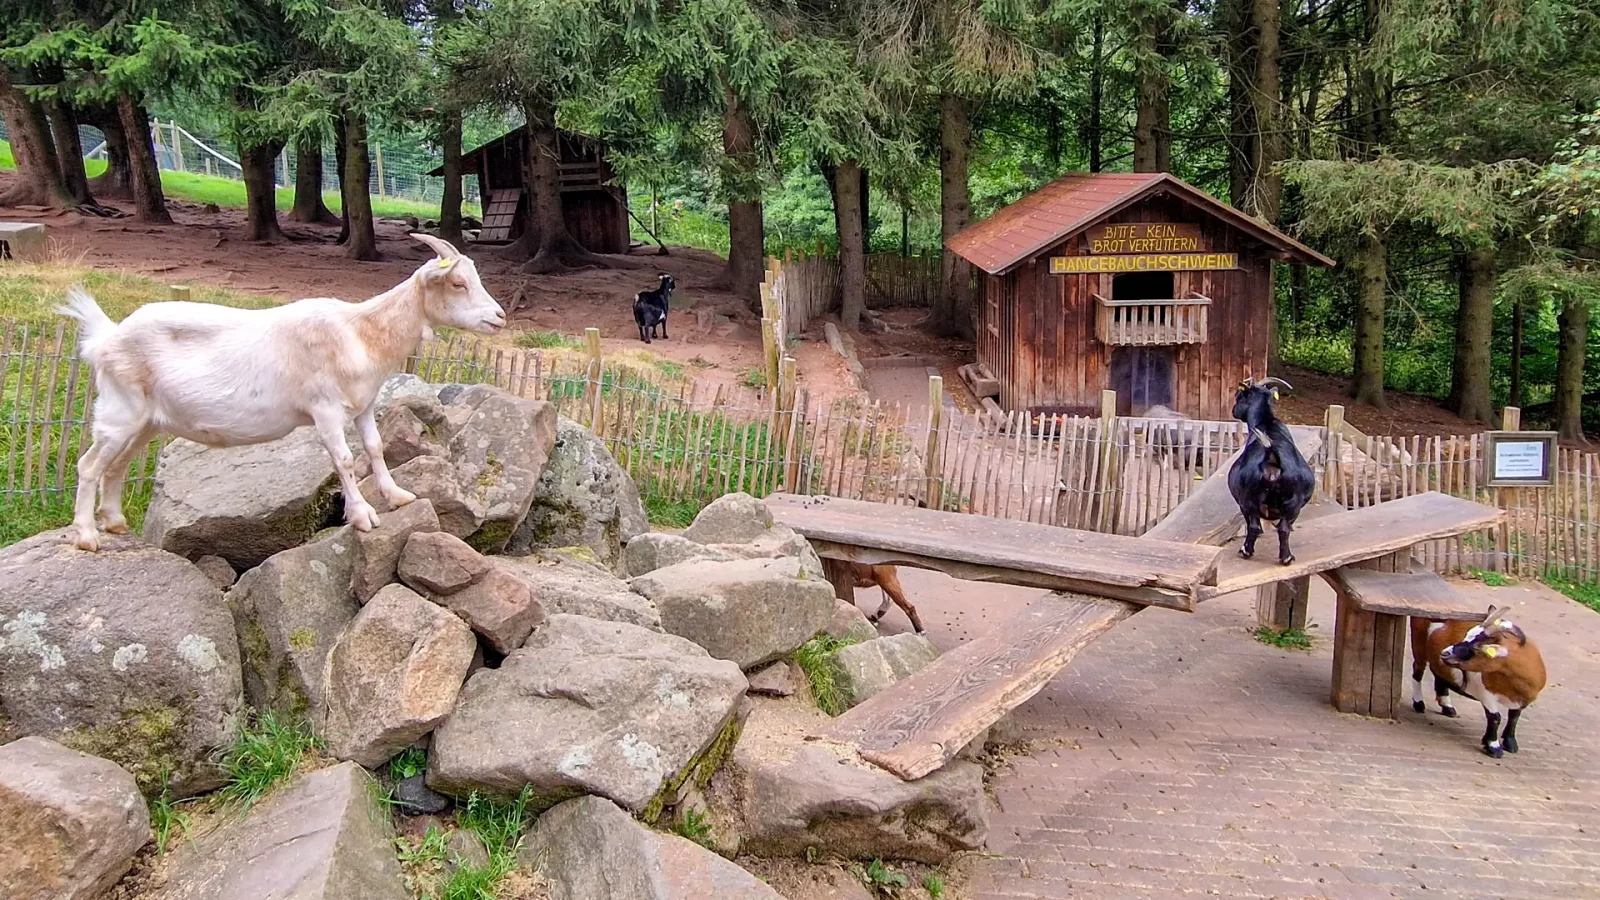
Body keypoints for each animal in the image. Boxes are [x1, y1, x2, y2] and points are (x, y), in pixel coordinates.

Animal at [59, 230, 502, 550]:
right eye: (458, 283)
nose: (499, 317)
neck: (359, 332)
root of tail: (106, 339)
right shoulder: (325, 409)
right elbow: (344, 459)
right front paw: (362, 516)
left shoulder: (362, 404)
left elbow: (375, 447)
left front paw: (396, 495)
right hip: (119, 411)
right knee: (89, 465)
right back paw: (87, 536)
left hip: (145, 422)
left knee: (116, 465)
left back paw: (115, 522)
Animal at [1222, 373, 1312, 560]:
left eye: (1239, 396)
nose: (1233, 409)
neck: (1266, 422)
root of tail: (1271, 457)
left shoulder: (1242, 502)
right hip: (1293, 503)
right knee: (1284, 528)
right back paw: (1286, 557)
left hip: (1249, 499)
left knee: (1254, 526)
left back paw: (1246, 551)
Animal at [1414, 602, 1548, 755]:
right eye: (1466, 636)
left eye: (1476, 648)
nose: (1445, 653)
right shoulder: (1486, 693)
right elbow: (1495, 717)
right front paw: (1493, 747)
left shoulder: (1521, 700)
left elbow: (1514, 717)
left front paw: (1510, 743)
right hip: (1418, 642)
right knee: (1418, 671)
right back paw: (1418, 703)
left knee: (1438, 674)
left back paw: (1448, 707)